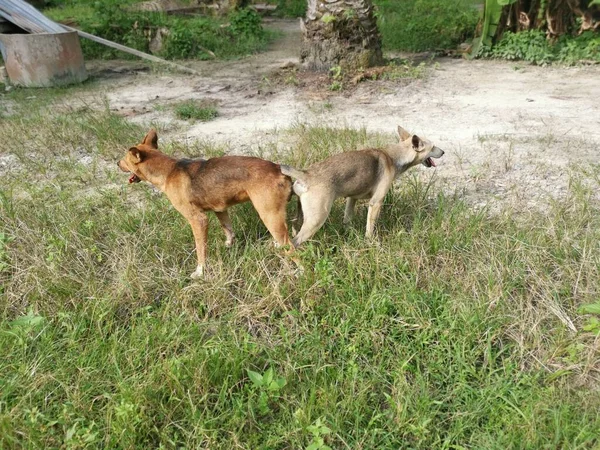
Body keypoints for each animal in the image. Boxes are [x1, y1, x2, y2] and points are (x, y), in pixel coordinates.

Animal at [118, 128, 292, 280]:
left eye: (124, 160)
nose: (117, 163)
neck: (169, 171)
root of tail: (278, 169)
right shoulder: (220, 209)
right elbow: (228, 230)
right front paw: (229, 245)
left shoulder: (198, 220)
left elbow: (200, 249)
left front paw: (200, 272)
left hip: (269, 216)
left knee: (291, 247)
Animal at [278, 125, 442, 246]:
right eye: (433, 147)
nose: (443, 152)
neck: (395, 156)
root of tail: (306, 174)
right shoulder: (375, 203)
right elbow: (370, 228)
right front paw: (370, 243)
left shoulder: (352, 199)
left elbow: (347, 220)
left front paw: (349, 235)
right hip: (316, 219)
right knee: (293, 243)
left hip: (300, 216)